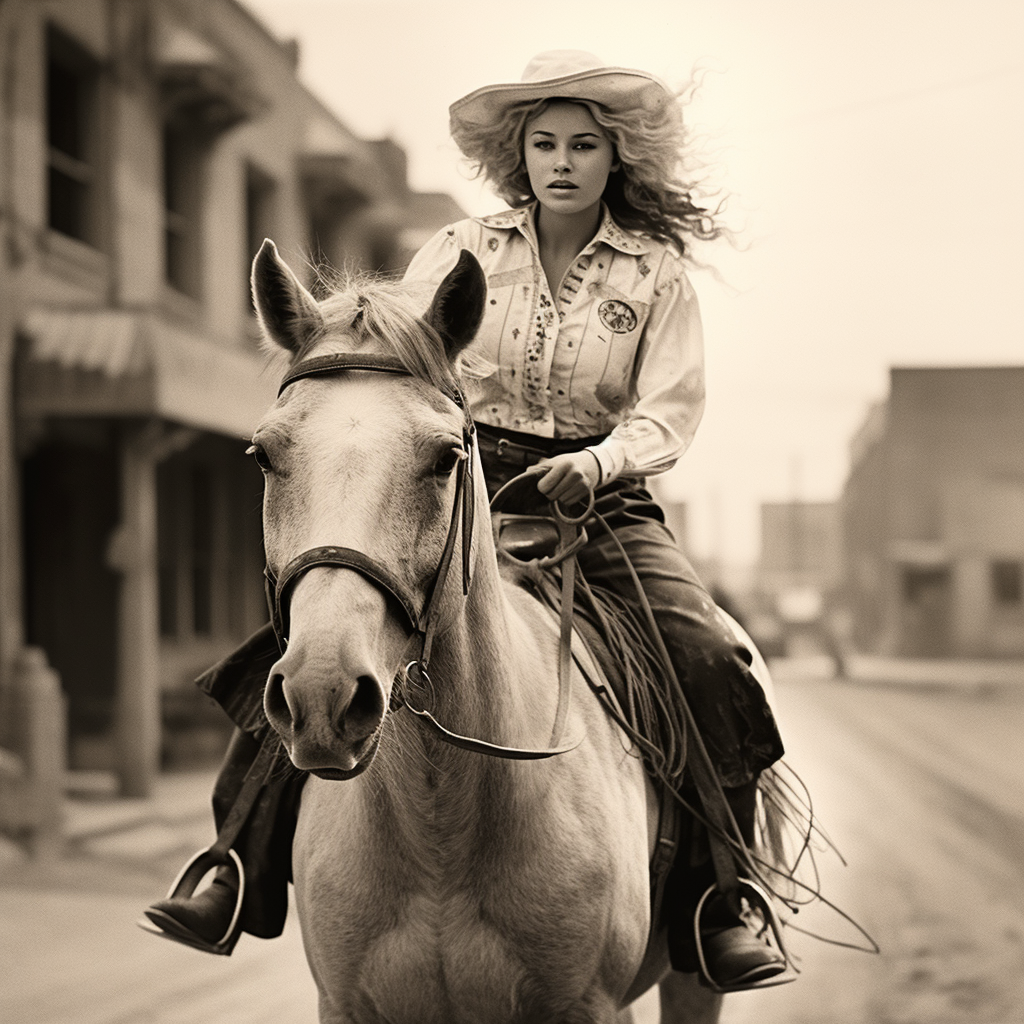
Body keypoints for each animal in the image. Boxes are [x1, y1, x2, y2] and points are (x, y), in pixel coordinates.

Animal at [246, 241, 729, 1024]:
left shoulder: (591, 1005)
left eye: (445, 457)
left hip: (695, 979)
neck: (440, 832)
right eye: (264, 454)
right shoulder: (344, 1004)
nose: (323, 695)